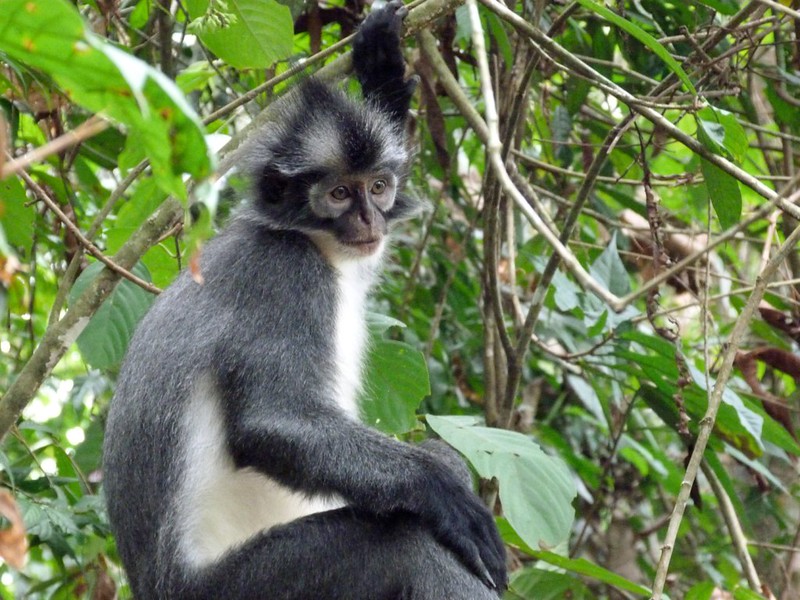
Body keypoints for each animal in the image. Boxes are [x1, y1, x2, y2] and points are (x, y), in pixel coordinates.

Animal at [102, 3, 507, 598]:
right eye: (338, 194)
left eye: (378, 186)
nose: (368, 219)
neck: (313, 241)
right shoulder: (286, 274)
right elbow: (271, 421)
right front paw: (440, 489)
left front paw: (381, 65)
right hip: (250, 585)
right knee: (409, 538)